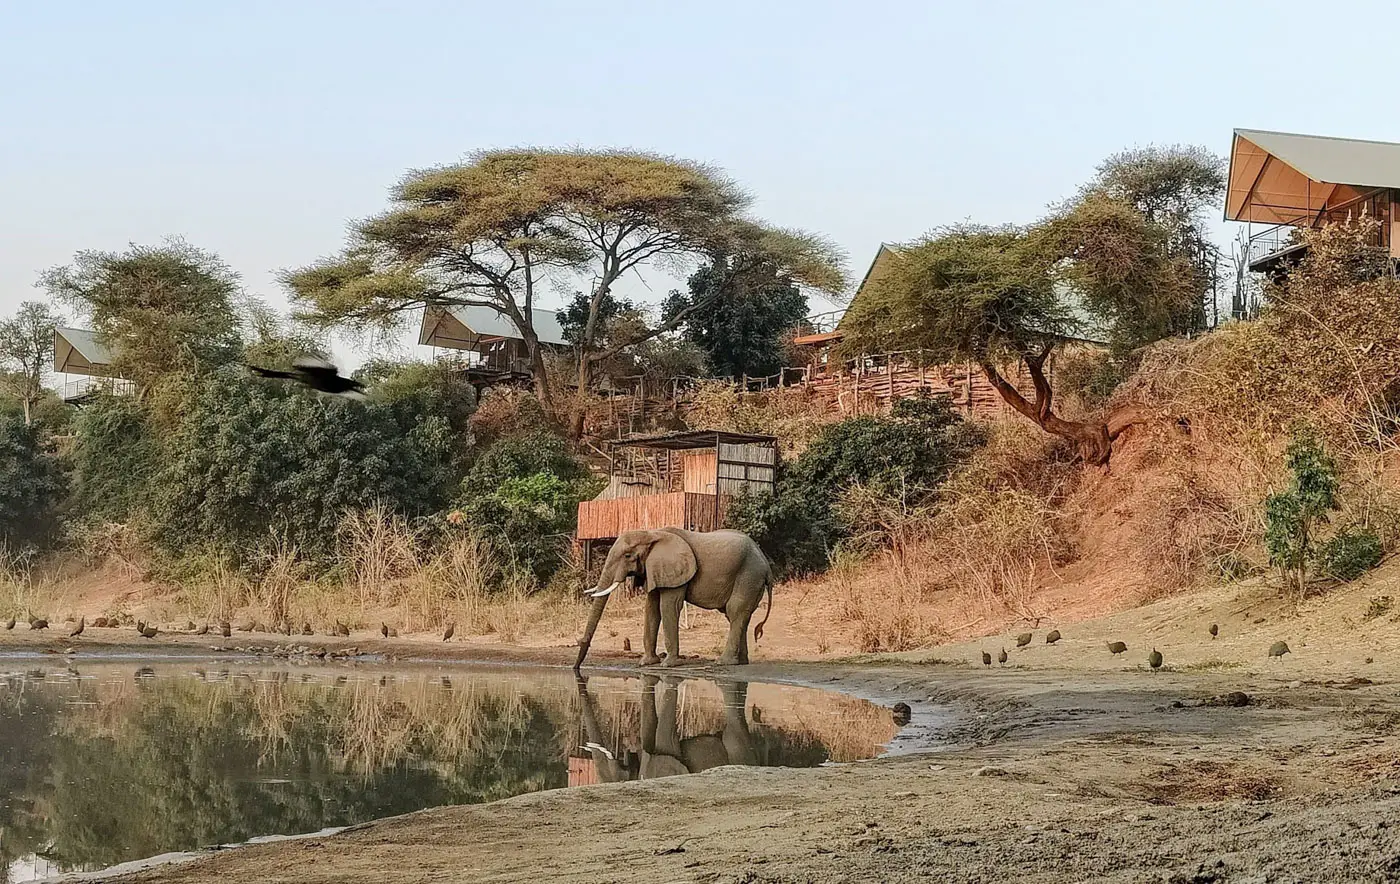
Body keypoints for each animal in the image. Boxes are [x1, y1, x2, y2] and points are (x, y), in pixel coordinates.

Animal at [574, 528, 773, 670]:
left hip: (749, 575)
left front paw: (668, 665)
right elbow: (651, 608)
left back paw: (723, 662)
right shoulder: (655, 570)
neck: (652, 533)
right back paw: (741, 662)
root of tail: (766, 564)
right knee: (736, 616)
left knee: (735, 610)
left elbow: (668, 606)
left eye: (628, 555)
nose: (576, 667)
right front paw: (647, 663)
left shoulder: (674, 573)